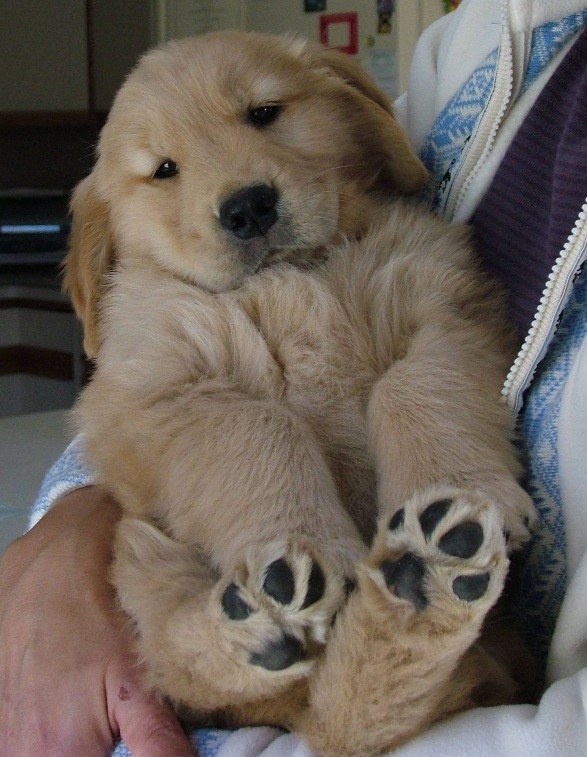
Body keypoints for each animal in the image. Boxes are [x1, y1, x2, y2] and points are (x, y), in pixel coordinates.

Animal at [64, 31, 536, 756]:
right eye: (164, 169)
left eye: (264, 112)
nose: (247, 207)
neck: (292, 277)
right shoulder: (150, 389)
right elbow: (259, 422)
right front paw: (302, 541)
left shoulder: (444, 307)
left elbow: (411, 386)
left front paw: (461, 486)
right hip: (140, 552)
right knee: (211, 666)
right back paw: (267, 617)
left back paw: (425, 569)